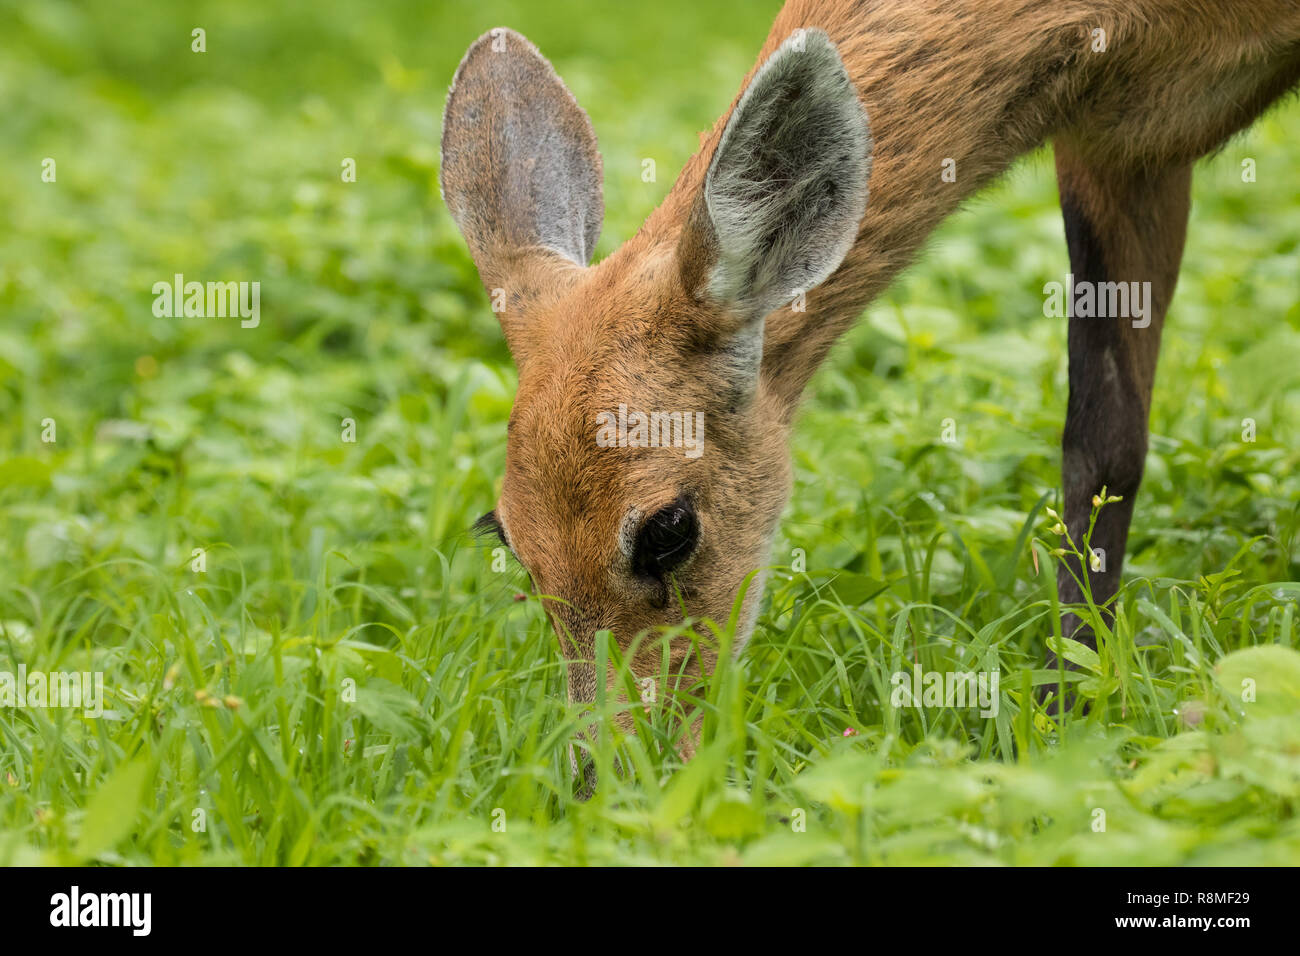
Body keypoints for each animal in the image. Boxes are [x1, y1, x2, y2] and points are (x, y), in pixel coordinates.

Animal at [441, 0, 1300, 764]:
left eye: (667, 530)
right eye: (504, 537)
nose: (610, 774)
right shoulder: (1118, 143)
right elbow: (1103, 443)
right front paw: (1071, 696)